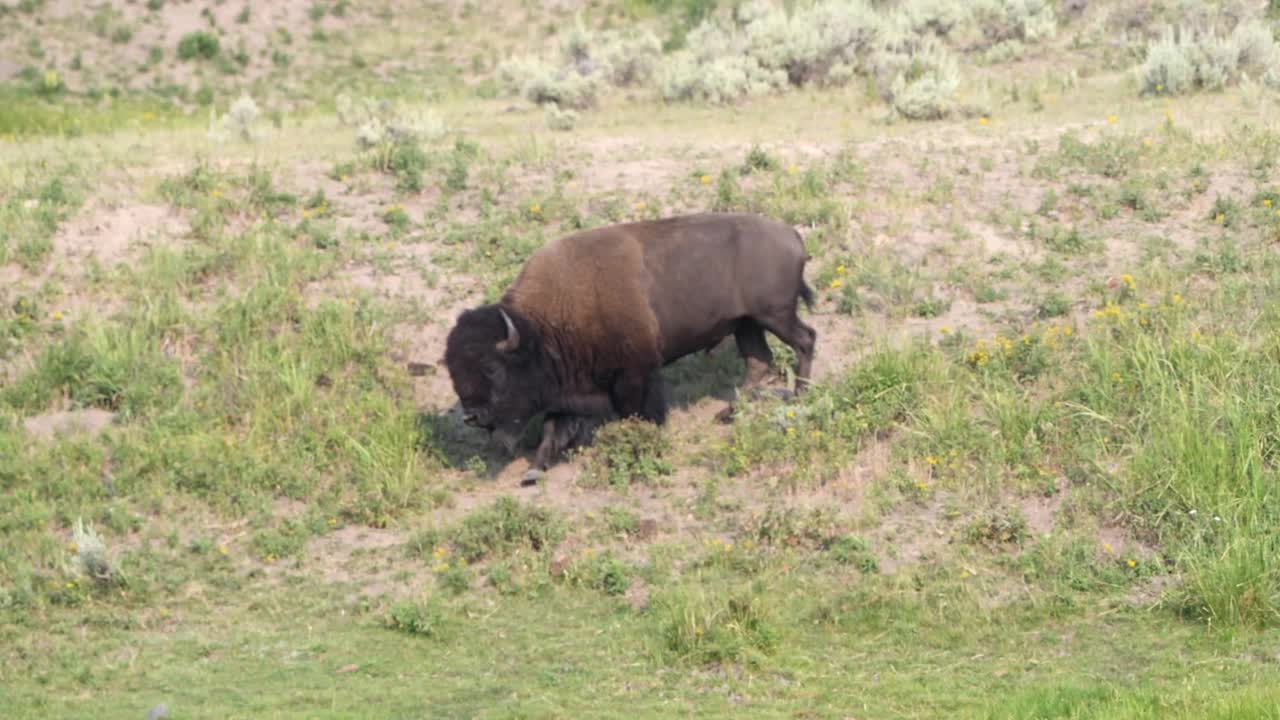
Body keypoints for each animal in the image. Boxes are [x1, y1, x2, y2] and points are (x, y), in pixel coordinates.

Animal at [445, 210, 814, 484]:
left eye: (492, 368)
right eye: (453, 371)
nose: (471, 416)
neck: (541, 328)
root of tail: (791, 234)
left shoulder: (636, 373)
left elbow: (638, 413)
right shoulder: (563, 390)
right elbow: (553, 427)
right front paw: (534, 471)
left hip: (774, 315)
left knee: (805, 340)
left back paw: (800, 395)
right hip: (747, 324)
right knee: (759, 361)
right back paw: (727, 414)